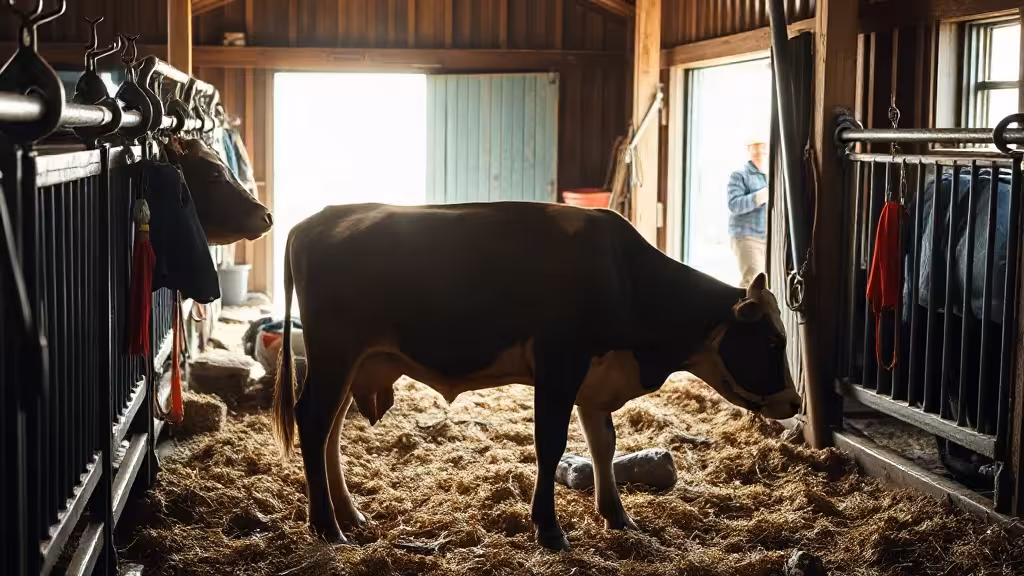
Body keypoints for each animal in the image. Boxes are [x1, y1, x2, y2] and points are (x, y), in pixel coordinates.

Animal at [272, 201, 800, 551]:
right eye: (774, 343)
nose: (795, 404)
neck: (624, 279)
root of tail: (315, 219)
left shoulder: (594, 379)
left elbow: (603, 444)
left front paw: (617, 517)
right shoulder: (558, 368)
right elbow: (552, 445)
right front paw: (548, 528)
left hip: (350, 364)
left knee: (330, 431)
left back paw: (349, 514)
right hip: (334, 354)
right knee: (314, 422)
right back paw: (326, 526)